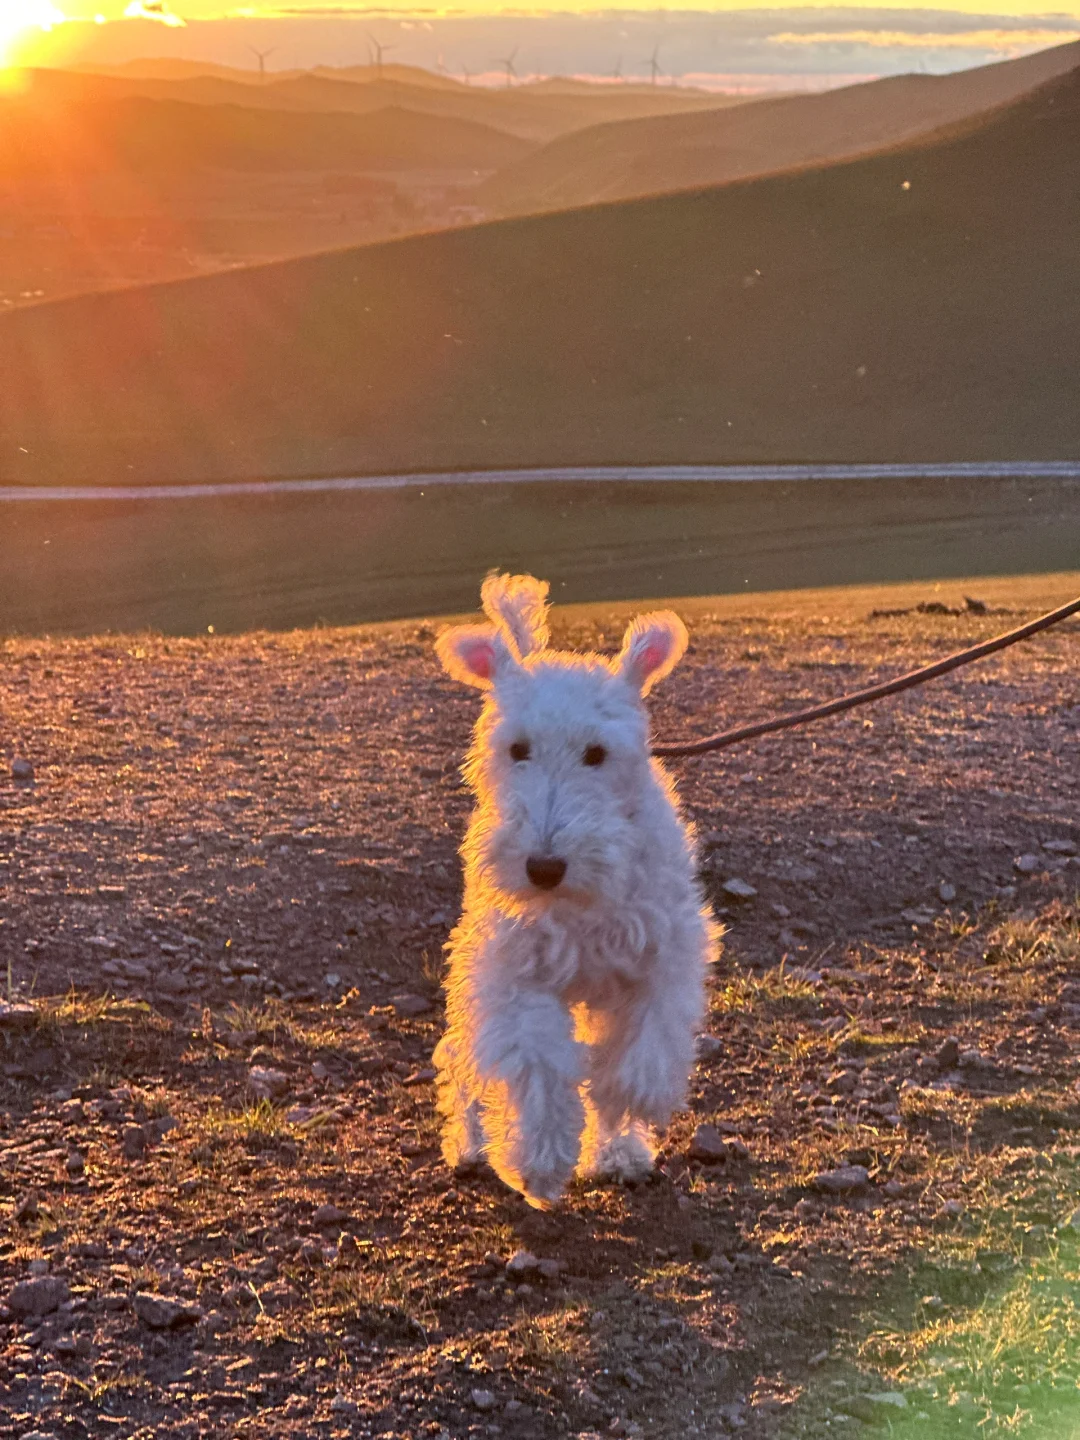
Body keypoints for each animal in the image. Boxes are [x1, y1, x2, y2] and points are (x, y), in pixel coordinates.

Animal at [432, 573, 720, 1203]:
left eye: (597, 753)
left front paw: (626, 1110)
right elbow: (538, 1065)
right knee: (462, 1063)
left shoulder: (664, 951)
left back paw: (618, 1149)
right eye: (517, 748)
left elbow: (639, 1051)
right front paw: (537, 1163)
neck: (579, 903)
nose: (543, 868)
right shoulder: (513, 973)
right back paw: (468, 1144)